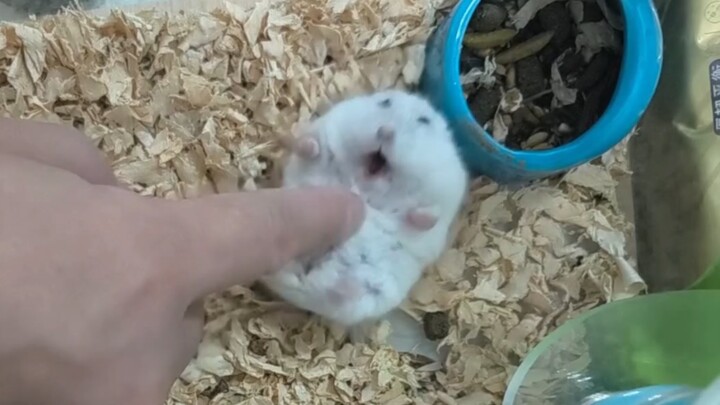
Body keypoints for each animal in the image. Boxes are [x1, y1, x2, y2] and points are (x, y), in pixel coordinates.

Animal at [261, 89, 469, 326]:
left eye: (423, 120)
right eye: (385, 102)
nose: (385, 131)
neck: (365, 189)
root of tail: (305, 275)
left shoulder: (446, 189)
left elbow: (430, 211)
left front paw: (422, 218)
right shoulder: (328, 128)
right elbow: (314, 147)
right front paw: (303, 144)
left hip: (370, 295)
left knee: (338, 294)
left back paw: (342, 286)